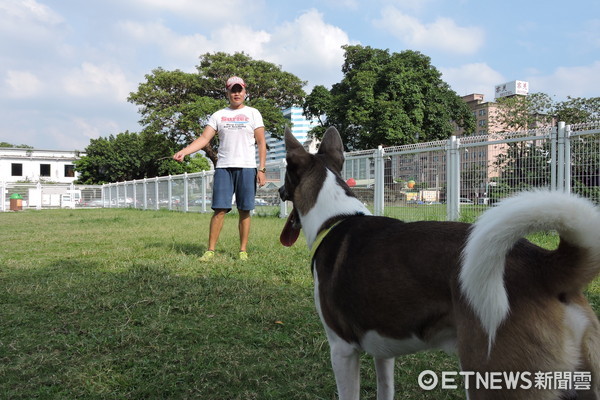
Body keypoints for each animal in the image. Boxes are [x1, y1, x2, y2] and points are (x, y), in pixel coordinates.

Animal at [282, 127, 600, 400]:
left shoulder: (342, 350)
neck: (336, 217)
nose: (278, 193)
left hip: (493, 378)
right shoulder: (383, 352)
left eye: (285, 176)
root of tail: (544, 265)